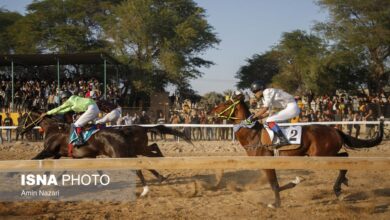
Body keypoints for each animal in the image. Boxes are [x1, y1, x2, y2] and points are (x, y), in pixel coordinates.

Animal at [19, 111, 193, 196]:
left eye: (22, 119)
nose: (19, 130)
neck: (55, 129)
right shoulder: (61, 154)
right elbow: (52, 170)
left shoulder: (49, 151)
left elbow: (35, 160)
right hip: (133, 151)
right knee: (151, 151)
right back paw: (160, 175)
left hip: (122, 155)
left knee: (139, 166)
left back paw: (146, 190)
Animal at [212, 98, 382, 208]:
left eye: (226, 103)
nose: (211, 111)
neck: (253, 135)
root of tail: (334, 129)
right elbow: (273, 184)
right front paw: (293, 183)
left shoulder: (268, 163)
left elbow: (274, 185)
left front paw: (278, 202)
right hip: (323, 154)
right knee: (343, 159)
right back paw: (341, 185)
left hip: (320, 155)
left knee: (344, 157)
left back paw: (338, 189)